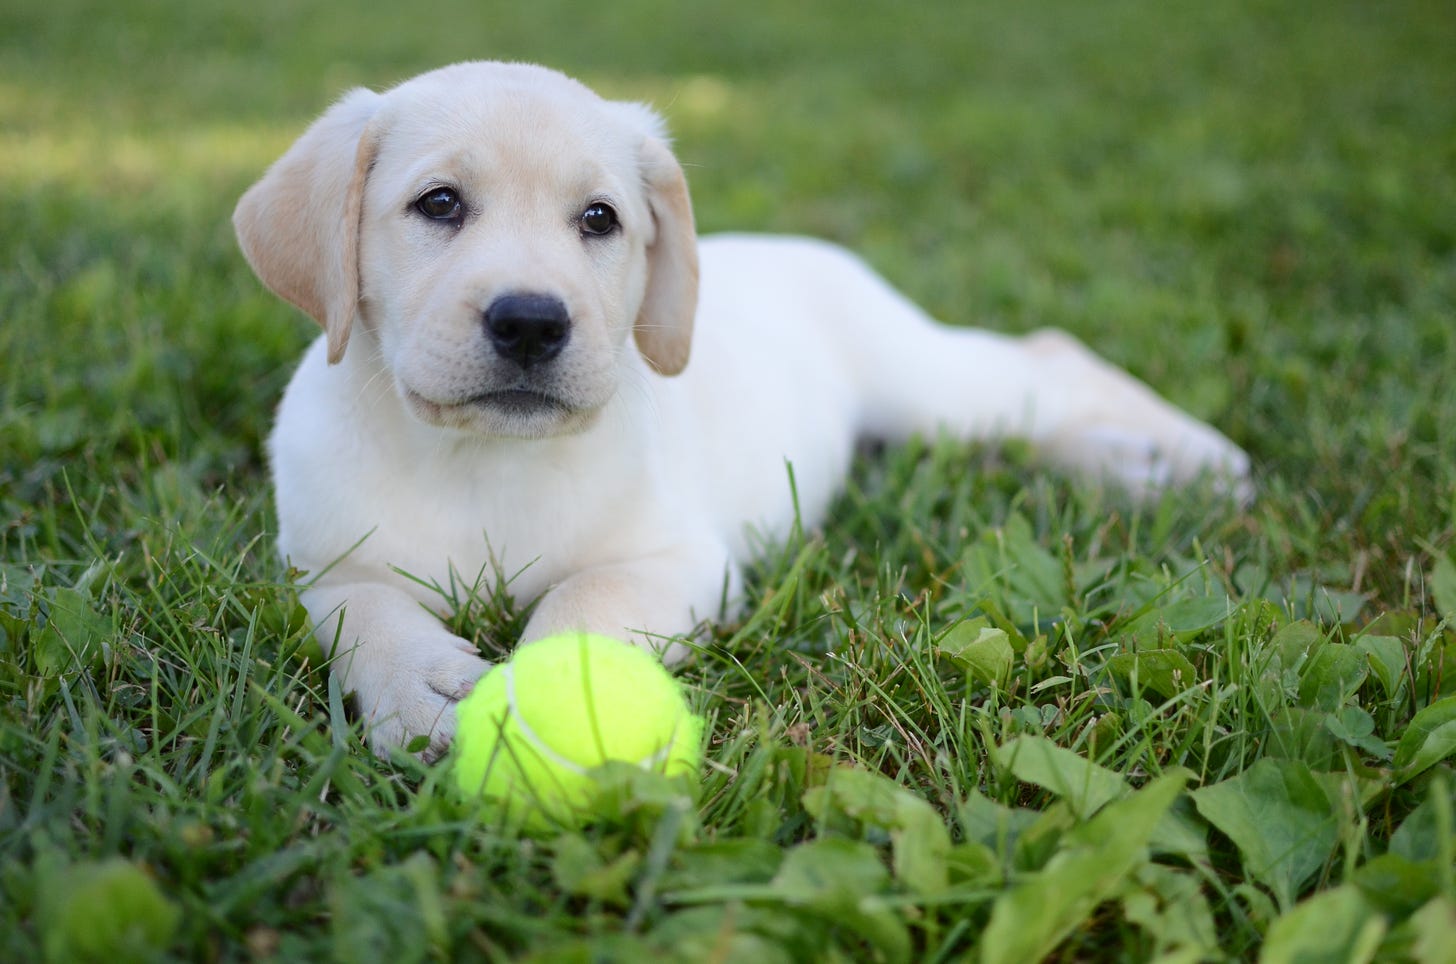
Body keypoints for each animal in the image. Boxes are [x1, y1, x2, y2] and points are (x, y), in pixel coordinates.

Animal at [232, 62, 1246, 763]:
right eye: (438, 204)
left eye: (599, 220)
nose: (531, 322)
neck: (480, 461)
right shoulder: (319, 563)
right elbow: (362, 611)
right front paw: (422, 689)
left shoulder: (682, 560)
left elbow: (582, 597)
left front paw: (548, 700)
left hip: (934, 389)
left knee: (1050, 353)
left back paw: (1186, 458)